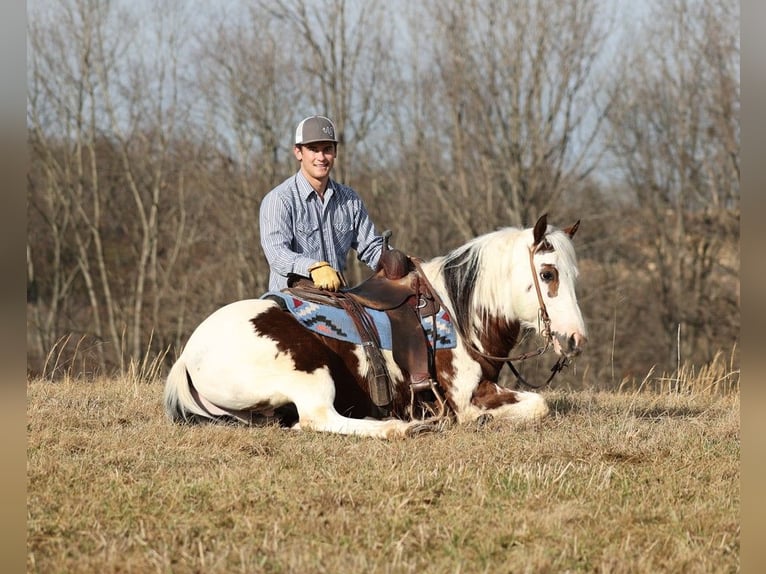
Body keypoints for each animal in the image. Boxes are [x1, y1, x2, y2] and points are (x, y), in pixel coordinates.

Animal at [165, 215, 588, 440]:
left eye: (573, 274)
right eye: (547, 273)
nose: (575, 339)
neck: (457, 312)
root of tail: (189, 355)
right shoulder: (467, 397)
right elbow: (538, 405)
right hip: (309, 371)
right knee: (316, 419)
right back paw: (398, 428)